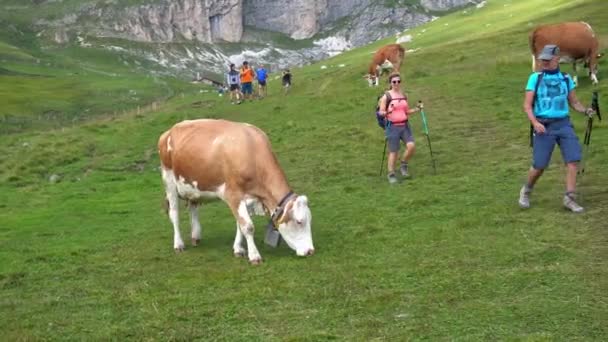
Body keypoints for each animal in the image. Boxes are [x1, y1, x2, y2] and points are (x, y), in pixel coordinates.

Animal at [158, 119, 314, 264]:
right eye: (299, 221)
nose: (310, 251)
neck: (253, 152)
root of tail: (169, 131)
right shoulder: (233, 195)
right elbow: (248, 226)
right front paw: (254, 256)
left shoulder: (247, 197)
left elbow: (240, 224)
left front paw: (238, 249)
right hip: (169, 181)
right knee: (174, 214)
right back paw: (178, 244)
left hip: (193, 186)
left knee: (193, 207)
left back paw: (196, 236)